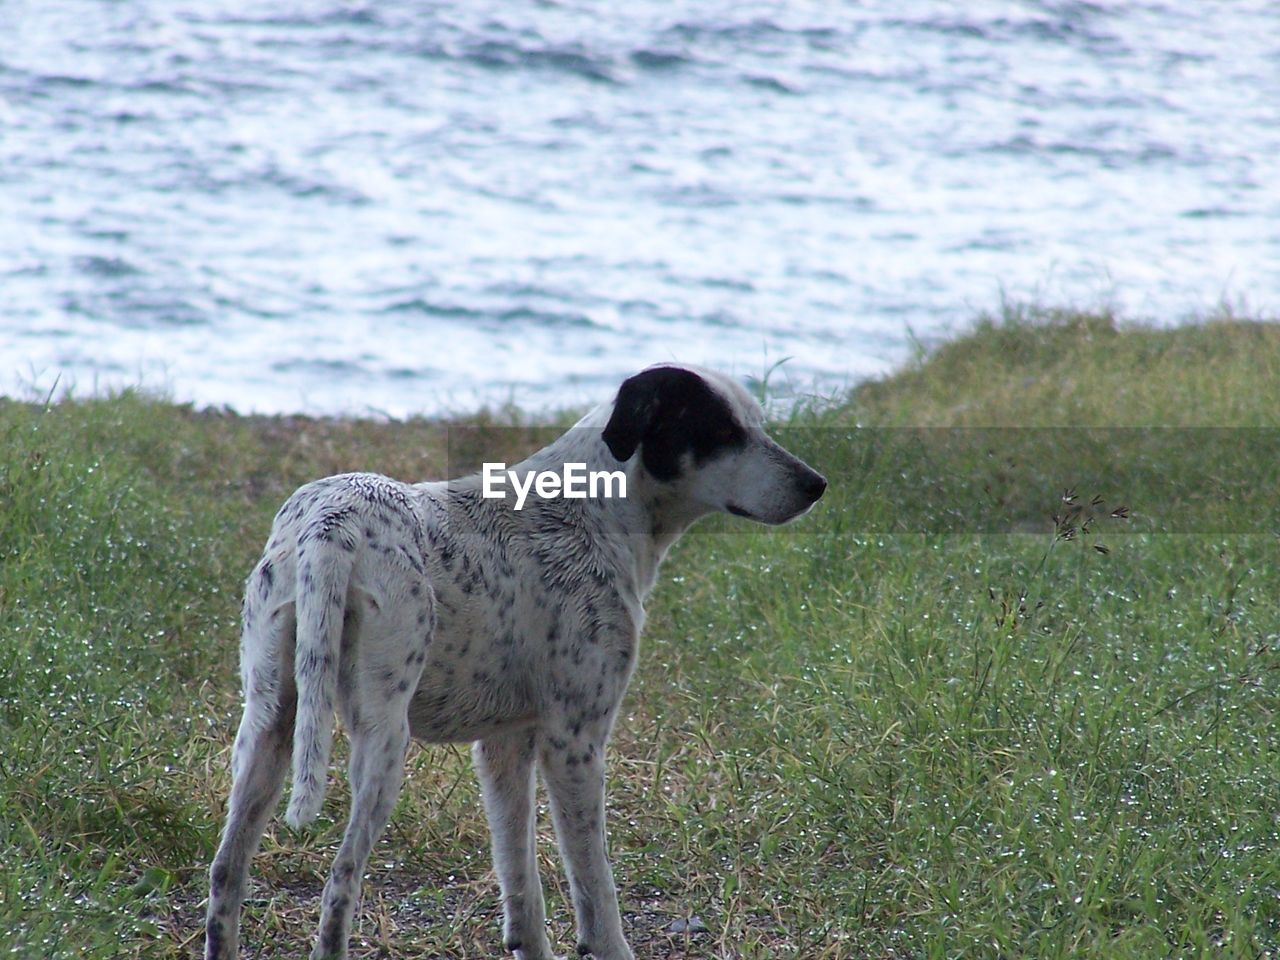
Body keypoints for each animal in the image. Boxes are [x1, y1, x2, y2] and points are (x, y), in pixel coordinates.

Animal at [204, 363, 824, 957]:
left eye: (757, 424)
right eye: (723, 432)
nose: (817, 484)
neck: (595, 508)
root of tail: (331, 524)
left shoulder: (504, 749)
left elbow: (523, 889)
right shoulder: (574, 746)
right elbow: (596, 896)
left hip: (267, 729)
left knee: (226, 875)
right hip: (382, 744)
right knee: (339, 887)